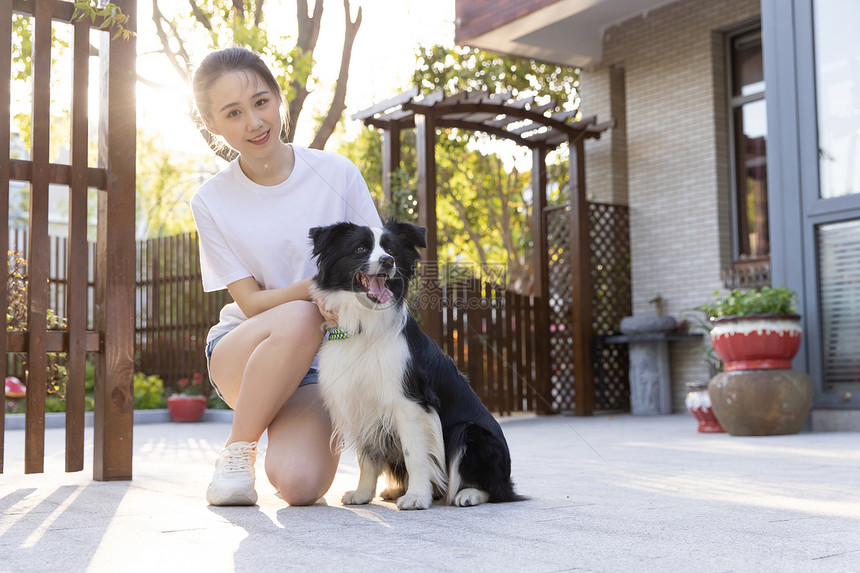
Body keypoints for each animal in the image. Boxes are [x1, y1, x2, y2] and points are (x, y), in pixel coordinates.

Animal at [310, 219, 524, 510]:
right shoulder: (361, 402)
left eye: (391, 250)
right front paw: (363, 493)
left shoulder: (411, 403)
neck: (365, 323)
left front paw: (417, 497)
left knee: (495, 489)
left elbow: (416, 454)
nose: (387, 261)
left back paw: (468, 494)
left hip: (471, 434)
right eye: (360, 248)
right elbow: (367, 456)